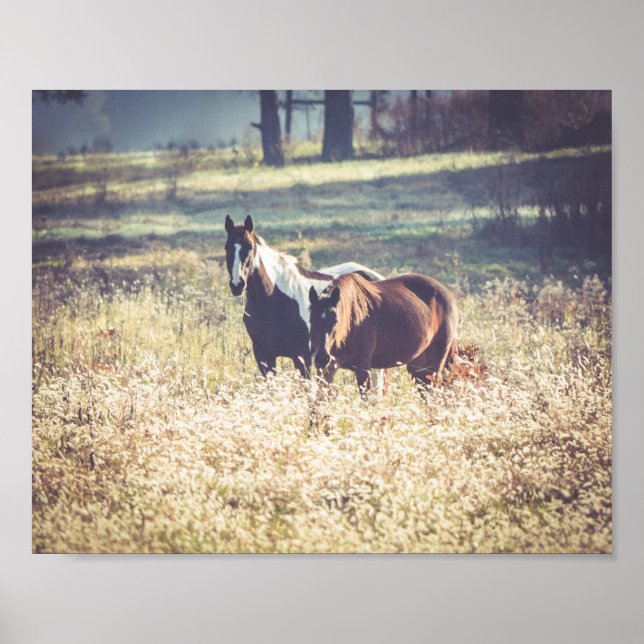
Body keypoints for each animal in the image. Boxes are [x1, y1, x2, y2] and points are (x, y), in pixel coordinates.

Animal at [224, 214, 385, 380]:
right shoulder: (264, 357)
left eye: (249, 246)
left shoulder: (302, 358)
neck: (272, 301)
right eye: (227, 247)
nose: (237, 284)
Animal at [308, 272, 458, 394]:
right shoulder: (327, 370)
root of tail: (448, 295)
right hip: (418, 368)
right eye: (311, 320)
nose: (322, 358)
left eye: (335, 321)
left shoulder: (363, 369)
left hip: (434, 366)